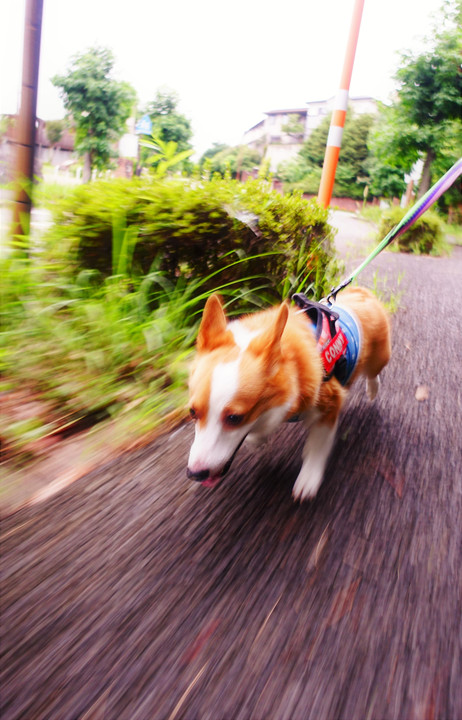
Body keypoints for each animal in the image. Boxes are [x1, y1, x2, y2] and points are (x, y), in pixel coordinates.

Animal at [187, 288, 390, 500]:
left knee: (373, 372)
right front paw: (256, 440)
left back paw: (373, 389)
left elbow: (317, 445)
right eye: (192, 412)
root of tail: (360, 292)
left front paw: (308, 479)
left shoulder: (329, 405)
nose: (194, 474)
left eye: (235, 418)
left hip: (379, 357)